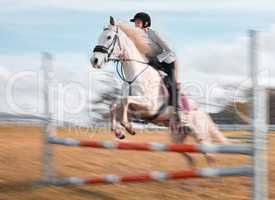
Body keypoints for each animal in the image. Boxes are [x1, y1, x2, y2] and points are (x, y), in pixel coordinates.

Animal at [90, 16, 229, 166]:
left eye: (109, 37)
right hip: (177, 137)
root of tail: (203, 112)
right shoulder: (135, 108)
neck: (134, 75)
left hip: (200, 134)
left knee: (210, 155)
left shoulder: (149, 105)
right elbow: (114, 104)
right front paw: (119, 132)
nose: (94, 60)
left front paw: (128, 127)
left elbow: (125, 101)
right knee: (190, 157)